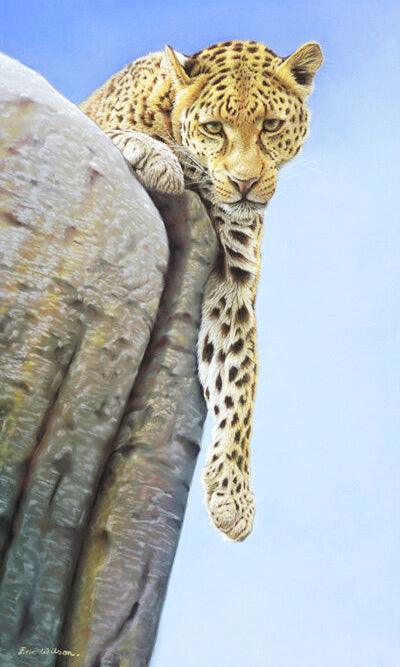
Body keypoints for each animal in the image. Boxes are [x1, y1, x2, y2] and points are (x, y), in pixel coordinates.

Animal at [80, 39, 323, 541]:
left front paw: (232, 491)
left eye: (271, 125)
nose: (244, 183)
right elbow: (118, 132)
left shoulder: (233, 277)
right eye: (214, 127)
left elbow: (237, 374)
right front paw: (156, 157)